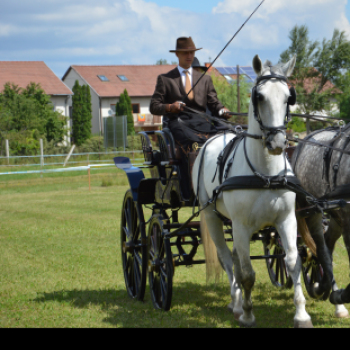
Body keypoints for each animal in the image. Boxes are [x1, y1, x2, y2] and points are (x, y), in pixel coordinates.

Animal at [191, 54, 318, 328]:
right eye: (258, 96)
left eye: (288, 97)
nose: (278, 143)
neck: (266, 175)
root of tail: (209, 140)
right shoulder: (241, 225)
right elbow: (248, 273)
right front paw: (248, 314)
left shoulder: (287, 220)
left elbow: (293, 262)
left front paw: (302, 314)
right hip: (212, 217)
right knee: (227, 259)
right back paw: (237, 303)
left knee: (236, 258)